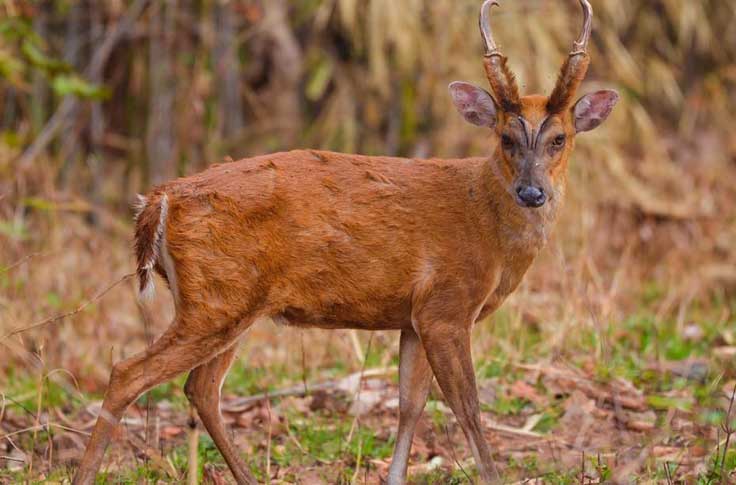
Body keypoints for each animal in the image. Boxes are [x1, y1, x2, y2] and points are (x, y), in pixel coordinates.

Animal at [75, 1, 620, 482]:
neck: (486, 222)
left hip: (225, 302)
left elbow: (409, 403)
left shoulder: (413, 316)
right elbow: (466, 405)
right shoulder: (446, 305)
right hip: (216, 298)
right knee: (128, 373)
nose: (532, 192)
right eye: (506, 138)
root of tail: (160, 199)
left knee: (200, 388)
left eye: (560, 139)